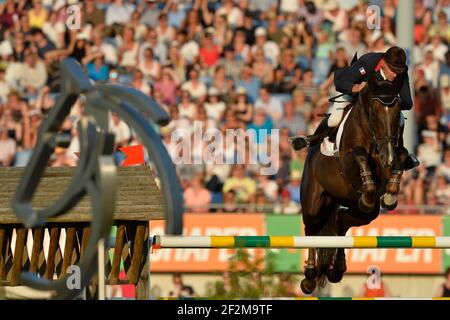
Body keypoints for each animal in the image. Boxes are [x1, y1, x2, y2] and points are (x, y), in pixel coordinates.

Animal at [298, 71, 408, 294]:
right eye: (373, 113)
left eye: (397, 113)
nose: (387, 157)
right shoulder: (349, 162)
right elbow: (359, 154)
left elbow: (402, 155)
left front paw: (390, 195)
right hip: (314, 204)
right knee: (311, 229)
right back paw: (310, 276)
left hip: (362, 211)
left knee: (341, 221)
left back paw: (337, 269)